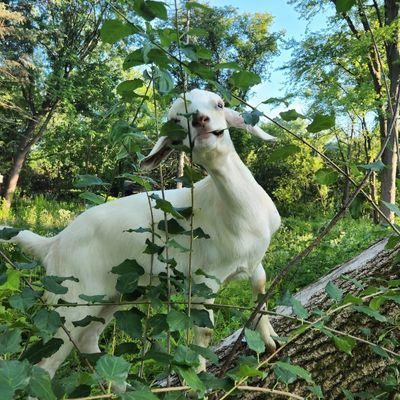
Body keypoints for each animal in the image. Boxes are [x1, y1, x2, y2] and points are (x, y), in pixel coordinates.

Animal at [2, 89, 282, 382]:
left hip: (113, 295)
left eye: (219, 104)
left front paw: (271, 340)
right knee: (47, 363)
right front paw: (198, 379)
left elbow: (261, 292)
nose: (200, 121)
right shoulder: (203, 279)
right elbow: (203, 331)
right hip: (73, 298)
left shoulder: (255, 262)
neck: (238, 213)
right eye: (175, 120)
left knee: (89, 340)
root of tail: (53, 244)